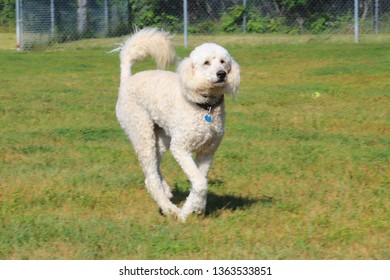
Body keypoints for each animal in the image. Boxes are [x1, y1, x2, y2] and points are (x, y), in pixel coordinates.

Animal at [114, 27, 239, 221]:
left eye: (223, 62)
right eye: (206, 63)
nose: (222, 74)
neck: (205, 107)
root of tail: (127, 79)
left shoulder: (207, 151)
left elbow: (200, 182)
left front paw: (196, 208)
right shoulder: (181, 148)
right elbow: (200, 183)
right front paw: (185, 214)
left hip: (162, 138)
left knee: (152, 171)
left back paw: (166, 191)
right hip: (142, 133)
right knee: (151, 177)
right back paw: (169, 209)